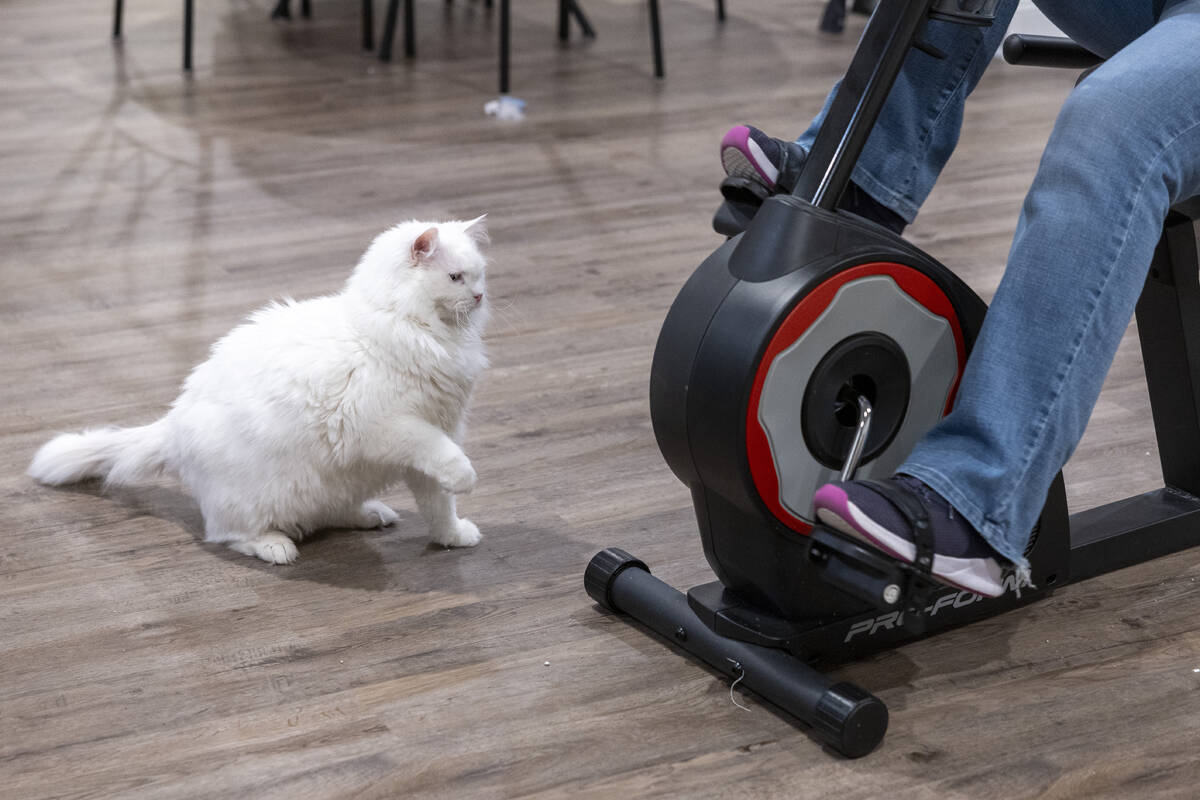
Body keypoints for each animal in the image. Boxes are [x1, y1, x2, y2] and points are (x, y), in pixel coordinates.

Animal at [28, 217, 489, 563]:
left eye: (479, 275)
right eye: (455, 278)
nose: (480, 296)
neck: (412, 329)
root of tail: (172, 423)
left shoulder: (432, 435)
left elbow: (438, 505)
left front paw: (453, 536)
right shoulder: (395, 428)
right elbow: (446, 460)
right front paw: (467, 478)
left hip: (336, 482)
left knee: (328, 513)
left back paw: (372, 514)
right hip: (253, 499)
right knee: (228, 534)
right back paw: (276, 547)